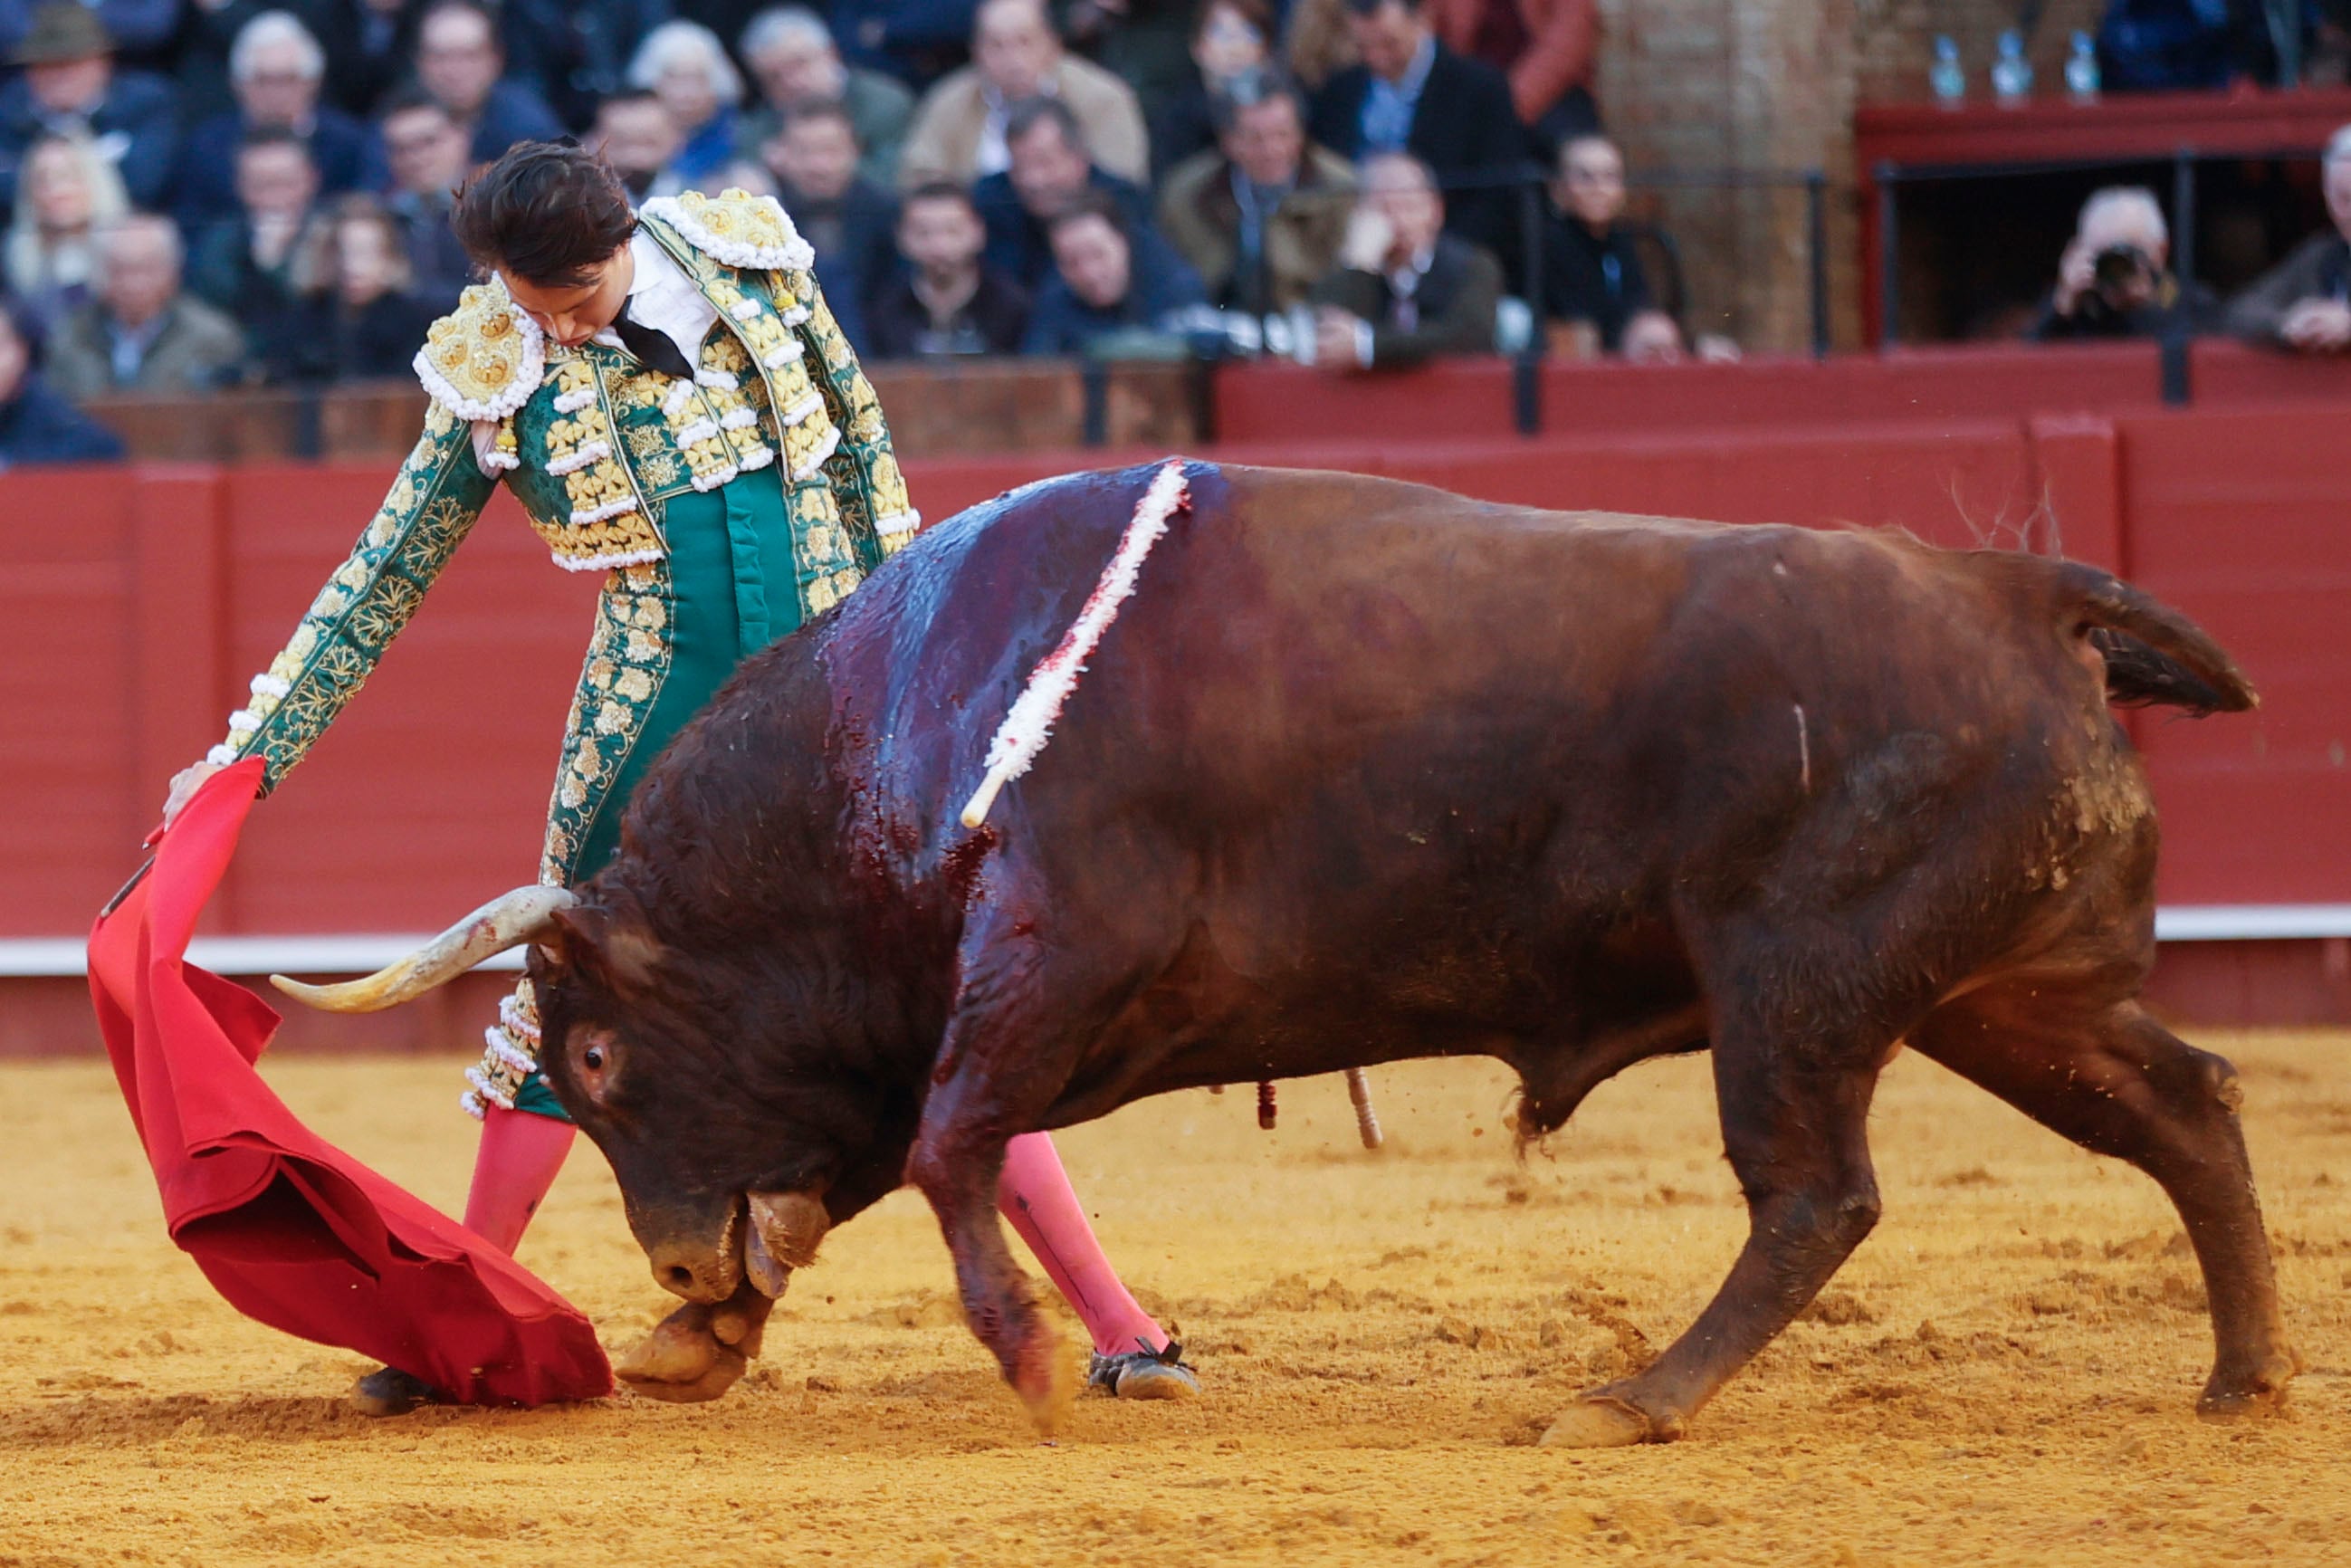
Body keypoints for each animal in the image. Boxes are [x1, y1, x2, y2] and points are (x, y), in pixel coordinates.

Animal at [289, 455, 2294, 1448]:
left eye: (599, 1056)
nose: (677, 1260)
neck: (914, 714)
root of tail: (2014, 591)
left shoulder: (1048, 952)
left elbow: (946, 1140)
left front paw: (1026, 1365)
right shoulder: (981, 1001)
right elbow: (902, 1147)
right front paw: (711, 1339)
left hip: (1793, 988)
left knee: (1817, 1193)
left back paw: (1628, 1402)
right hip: (2005, 992)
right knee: (2185, 1109)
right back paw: (2240, 1377)